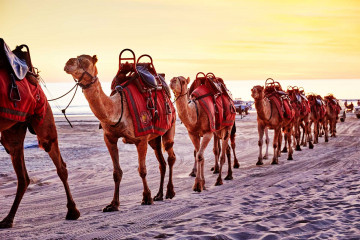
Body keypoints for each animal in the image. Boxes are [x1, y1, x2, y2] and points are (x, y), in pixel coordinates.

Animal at [0, 47, 79, 228]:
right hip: (14, 129)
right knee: (23, 176)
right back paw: (8, 219)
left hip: (43, 117)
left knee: (59, 163)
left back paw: (72, 211)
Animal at [65, 54, 178, 210]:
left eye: (84, 60)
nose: (68, 62)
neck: (118, 108)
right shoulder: (109, 138)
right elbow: (116, 172)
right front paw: (113, 204)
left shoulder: (141, 139)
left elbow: (142, 170)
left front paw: (146, 197)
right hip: (154, 138)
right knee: (162, 162)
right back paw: (159, 195)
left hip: (170, 125)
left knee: (170, 156)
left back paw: (169, 192)